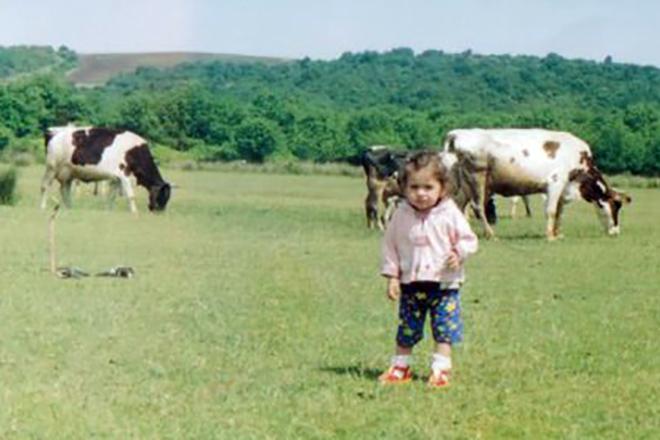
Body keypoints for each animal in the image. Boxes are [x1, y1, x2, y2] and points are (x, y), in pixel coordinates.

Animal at [40, 125, 171, 213]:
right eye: (163, 195)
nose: (160, 212)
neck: (135, 151)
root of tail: (54, 131)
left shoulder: (116, 178)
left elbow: (111, 196)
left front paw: (109, 211)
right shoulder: (124, 173)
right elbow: (130, 195)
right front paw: (134, 213)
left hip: (69, 172)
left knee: (64, 190)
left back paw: (70, 208)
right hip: (51, 168)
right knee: (45, 186)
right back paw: (43, 207)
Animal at [446, 128, 632, 241]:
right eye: (615, 206)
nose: (616, 231)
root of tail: (458, 133)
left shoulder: (563, 189)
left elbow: (560, 212)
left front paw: (558, 233)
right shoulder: (556, 183)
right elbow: (551, 211)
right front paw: (550, 236)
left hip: (465, 184)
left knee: (459, 205)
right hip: (477, 178)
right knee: (477, 207)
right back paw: (491, 235)